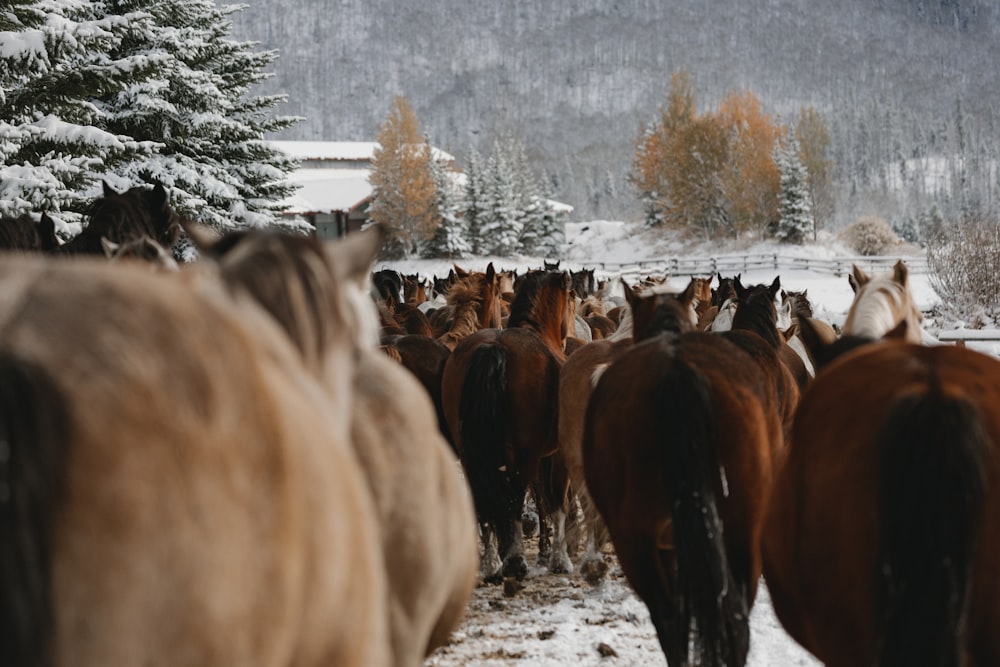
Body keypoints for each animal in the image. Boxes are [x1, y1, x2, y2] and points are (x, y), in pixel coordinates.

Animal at [444, 272, 576, 584]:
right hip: (523, 457)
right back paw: (515, 561)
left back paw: (492, 564)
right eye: (572, 298)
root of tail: (494, 347)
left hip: (471, 455)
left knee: (482, 502)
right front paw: (559, 559)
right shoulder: (554, 454)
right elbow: (556, 501)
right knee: (514, 500)